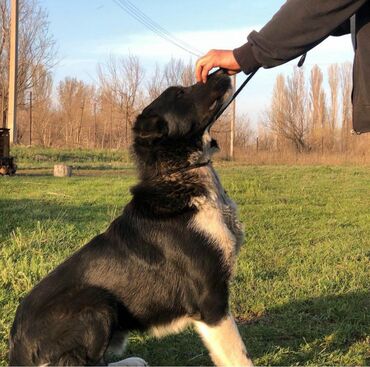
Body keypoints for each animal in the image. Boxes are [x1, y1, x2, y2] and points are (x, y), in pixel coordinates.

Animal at [8, 68, 253, 366]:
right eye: (180, 92)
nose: (223, 70)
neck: (181, 173)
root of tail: (16, 349)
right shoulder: (211, 300)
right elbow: (239, 356)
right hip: (97, 302)